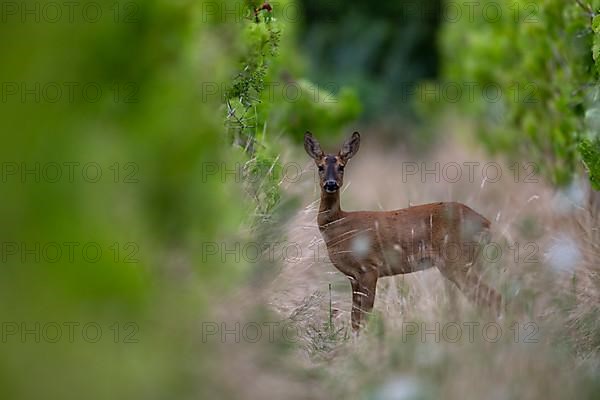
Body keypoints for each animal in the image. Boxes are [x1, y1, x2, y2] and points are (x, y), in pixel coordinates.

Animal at [304, 130, 502, 332]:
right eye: (320, 167)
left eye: (342, 167)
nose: (331, 184)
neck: (339, 226)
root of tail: (486, 223)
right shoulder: (354, 276)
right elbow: (355, 320)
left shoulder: (369, 267)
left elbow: (363, 317)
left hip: (456, 259)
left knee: (493, 296)